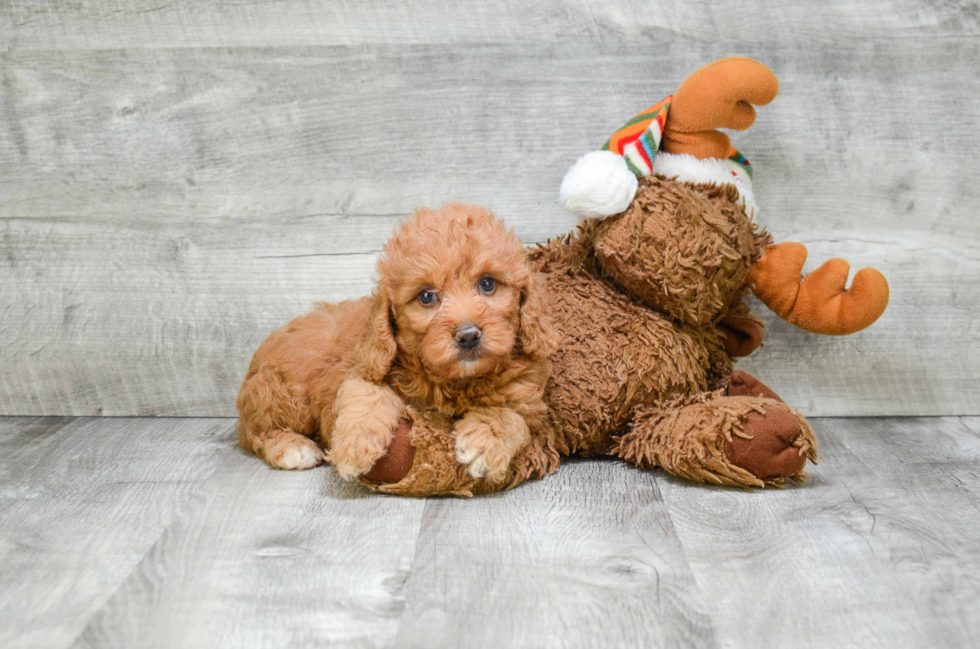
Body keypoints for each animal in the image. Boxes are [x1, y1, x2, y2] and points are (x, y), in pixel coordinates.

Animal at [236, 202, 556, 480]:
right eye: (426, 296)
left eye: (487, 283)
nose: (468, 336)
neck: (455, 382)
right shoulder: (362, 368)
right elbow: (367, 394)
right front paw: (355, 445)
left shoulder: (530, 403)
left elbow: (512, 417)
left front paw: (485, 441)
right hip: (280, 394)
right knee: (256, 433)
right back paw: (294, 449)